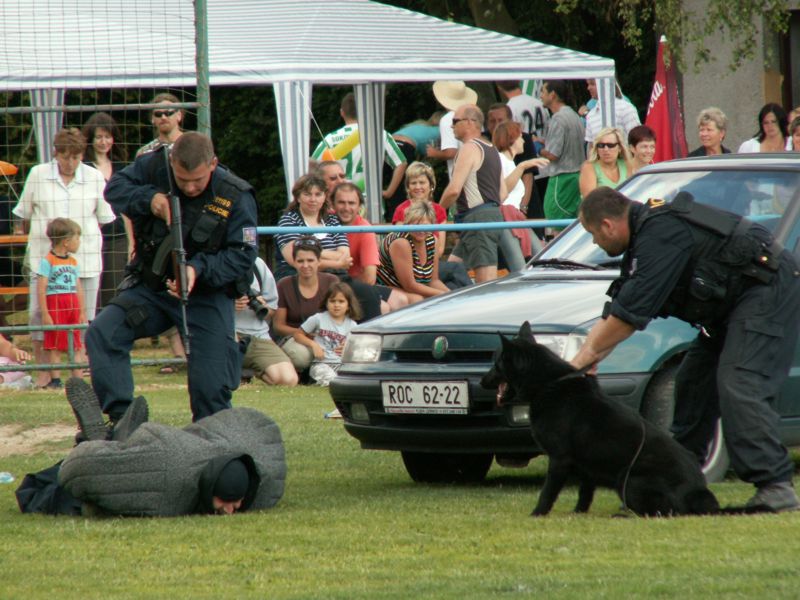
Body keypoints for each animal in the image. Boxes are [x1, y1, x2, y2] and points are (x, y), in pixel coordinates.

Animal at [480, 321, 721, 517]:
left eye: (496, 363)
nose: (482, 380)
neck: (549, 383)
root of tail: (698, 491)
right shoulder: (587, 466)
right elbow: (585, 493)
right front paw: (578, 513)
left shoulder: (559, 459)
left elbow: (547, 492)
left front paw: (537, 513)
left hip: (628, 480)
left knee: (664, 512)